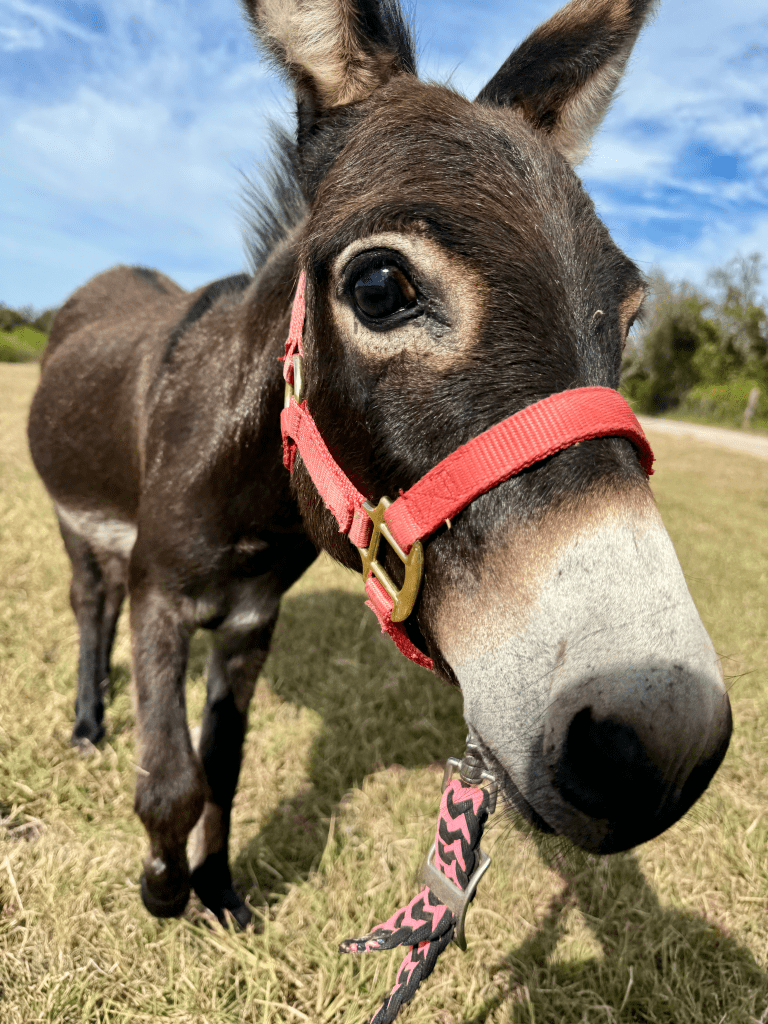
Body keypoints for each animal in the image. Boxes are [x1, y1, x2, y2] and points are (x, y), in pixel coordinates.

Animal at [28, 0, 732, 930]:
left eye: (629, 316)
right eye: (377, 288)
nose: (664, 745)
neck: (251, 498)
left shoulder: (250, 621)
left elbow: (222, 772)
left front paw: (218, 892)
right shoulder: (162, 594)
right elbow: (172, 780)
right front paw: (164, 887)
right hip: (76, 523)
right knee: (89, 602)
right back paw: (86, 722)